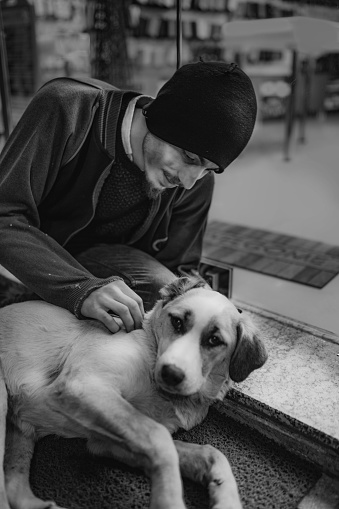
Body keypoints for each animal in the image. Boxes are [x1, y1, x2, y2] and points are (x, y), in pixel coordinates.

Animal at [0, 278, 268, 508]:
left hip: (19, 437)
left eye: (214, 340)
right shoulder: (84, 386)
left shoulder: (106, 440)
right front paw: (168, 500)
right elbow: (161, 440)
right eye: (177, 322)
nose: (171, 374)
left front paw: (226, 498)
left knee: (14, 489)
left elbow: (210, 452)